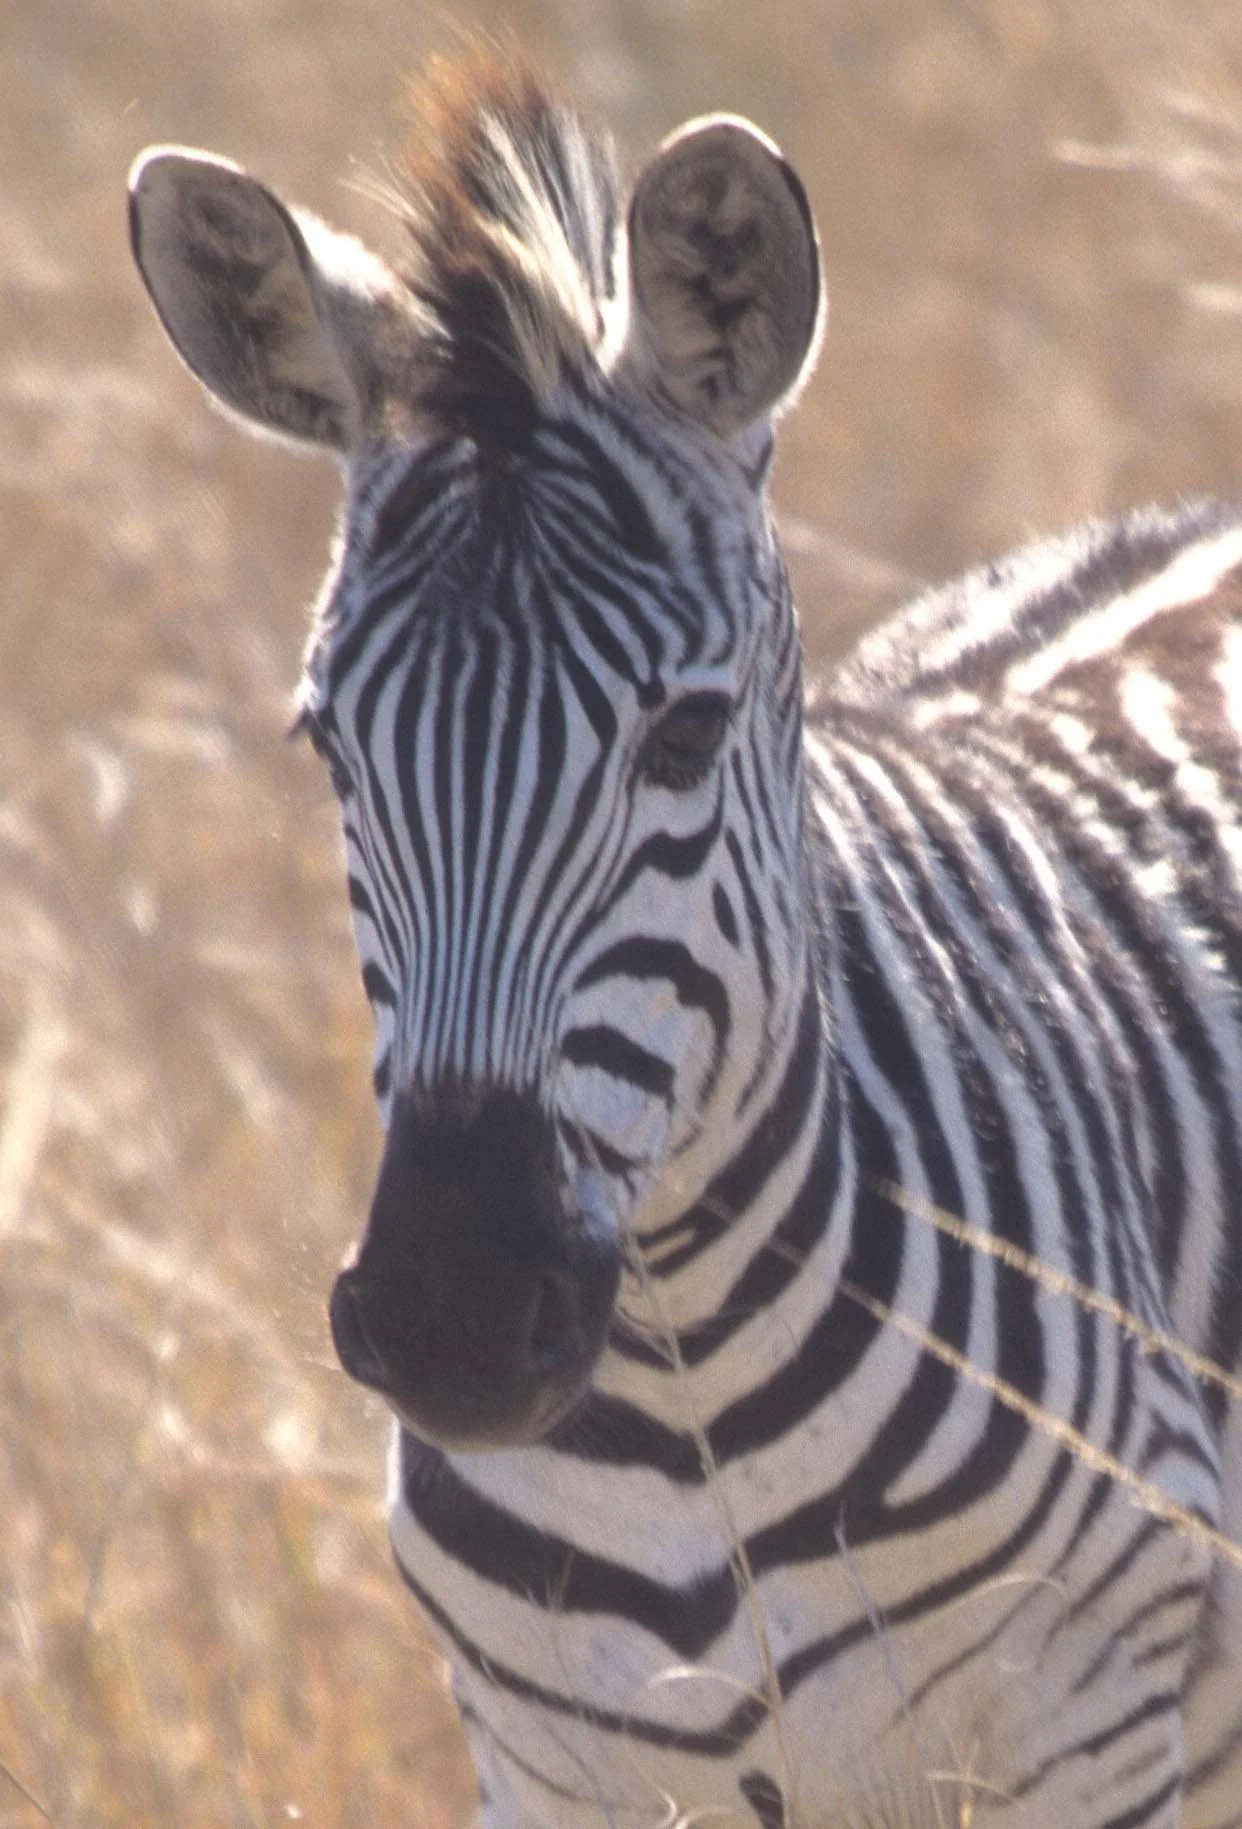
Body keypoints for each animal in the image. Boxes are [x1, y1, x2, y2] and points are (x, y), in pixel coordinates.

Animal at [128, 50, 1242, 1829]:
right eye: (327, 745)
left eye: (686, 734)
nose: (449, 1317)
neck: (687, 1393)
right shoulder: (553, 1765)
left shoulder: (1083, 1730)